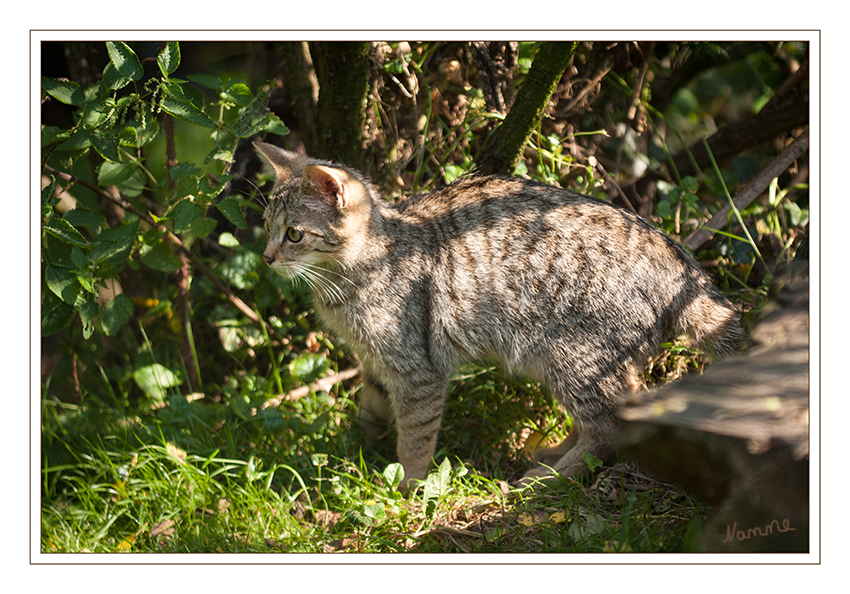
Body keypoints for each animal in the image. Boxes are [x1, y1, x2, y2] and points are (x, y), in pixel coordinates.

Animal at [253, 141, 744, 488]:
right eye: (267, 227)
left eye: (294, 234)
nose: (266, 257)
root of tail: (678, 261)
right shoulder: (376, 361)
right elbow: (370, 409)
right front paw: (352, 448)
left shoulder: (417, 370)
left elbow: (414, 437)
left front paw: (407, 488)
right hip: (569, 359)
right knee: (619, 408)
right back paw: (554, 454)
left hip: (574, 353)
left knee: (609, 425)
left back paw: (549, 479)